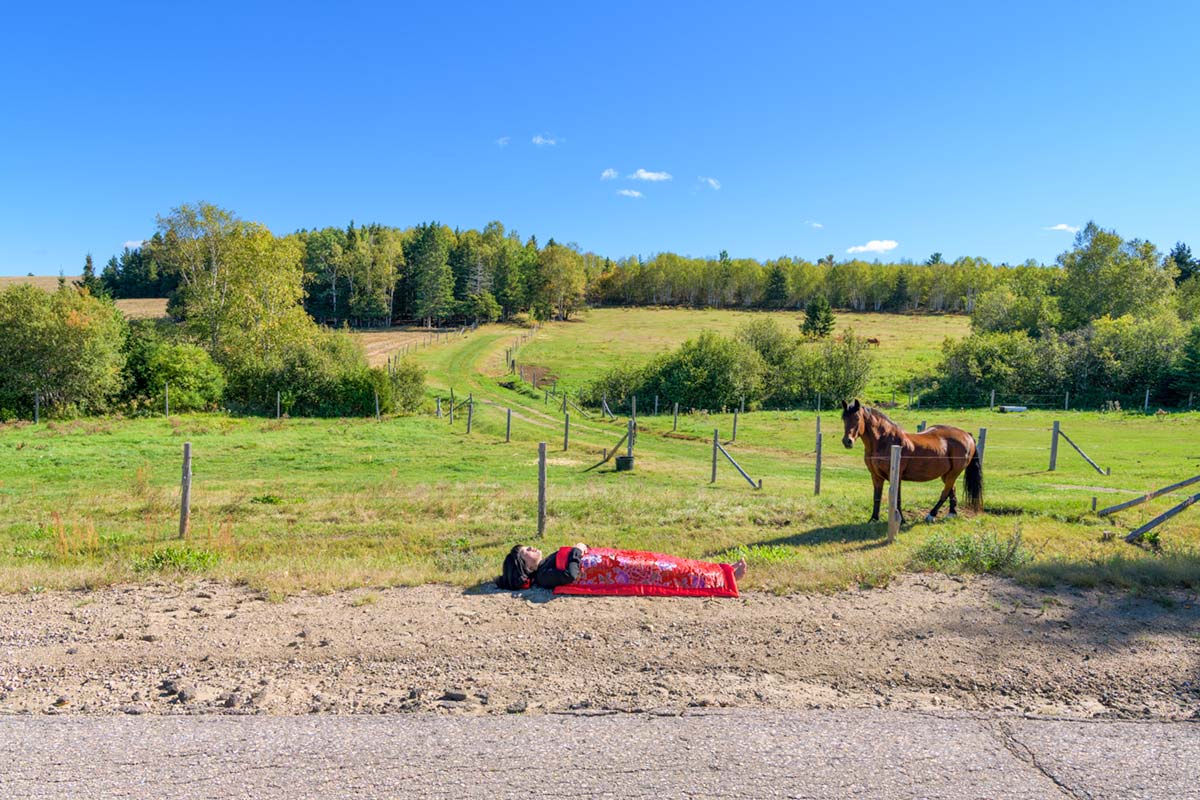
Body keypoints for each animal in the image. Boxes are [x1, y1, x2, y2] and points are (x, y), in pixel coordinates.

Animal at [840, 400, 979, 525]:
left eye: (857, 418)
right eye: (843, 418)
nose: (847, 441)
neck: (885, 441)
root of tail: (967, 435)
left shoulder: (896, 477)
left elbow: (898, 498)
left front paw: (901, 520)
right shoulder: (876, 476)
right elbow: (877, 497)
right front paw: (873, 519)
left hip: (954, 473)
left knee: (945, 493)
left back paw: (931, 515)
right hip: (946, 474)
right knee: (952, 490)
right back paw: (951, 513)